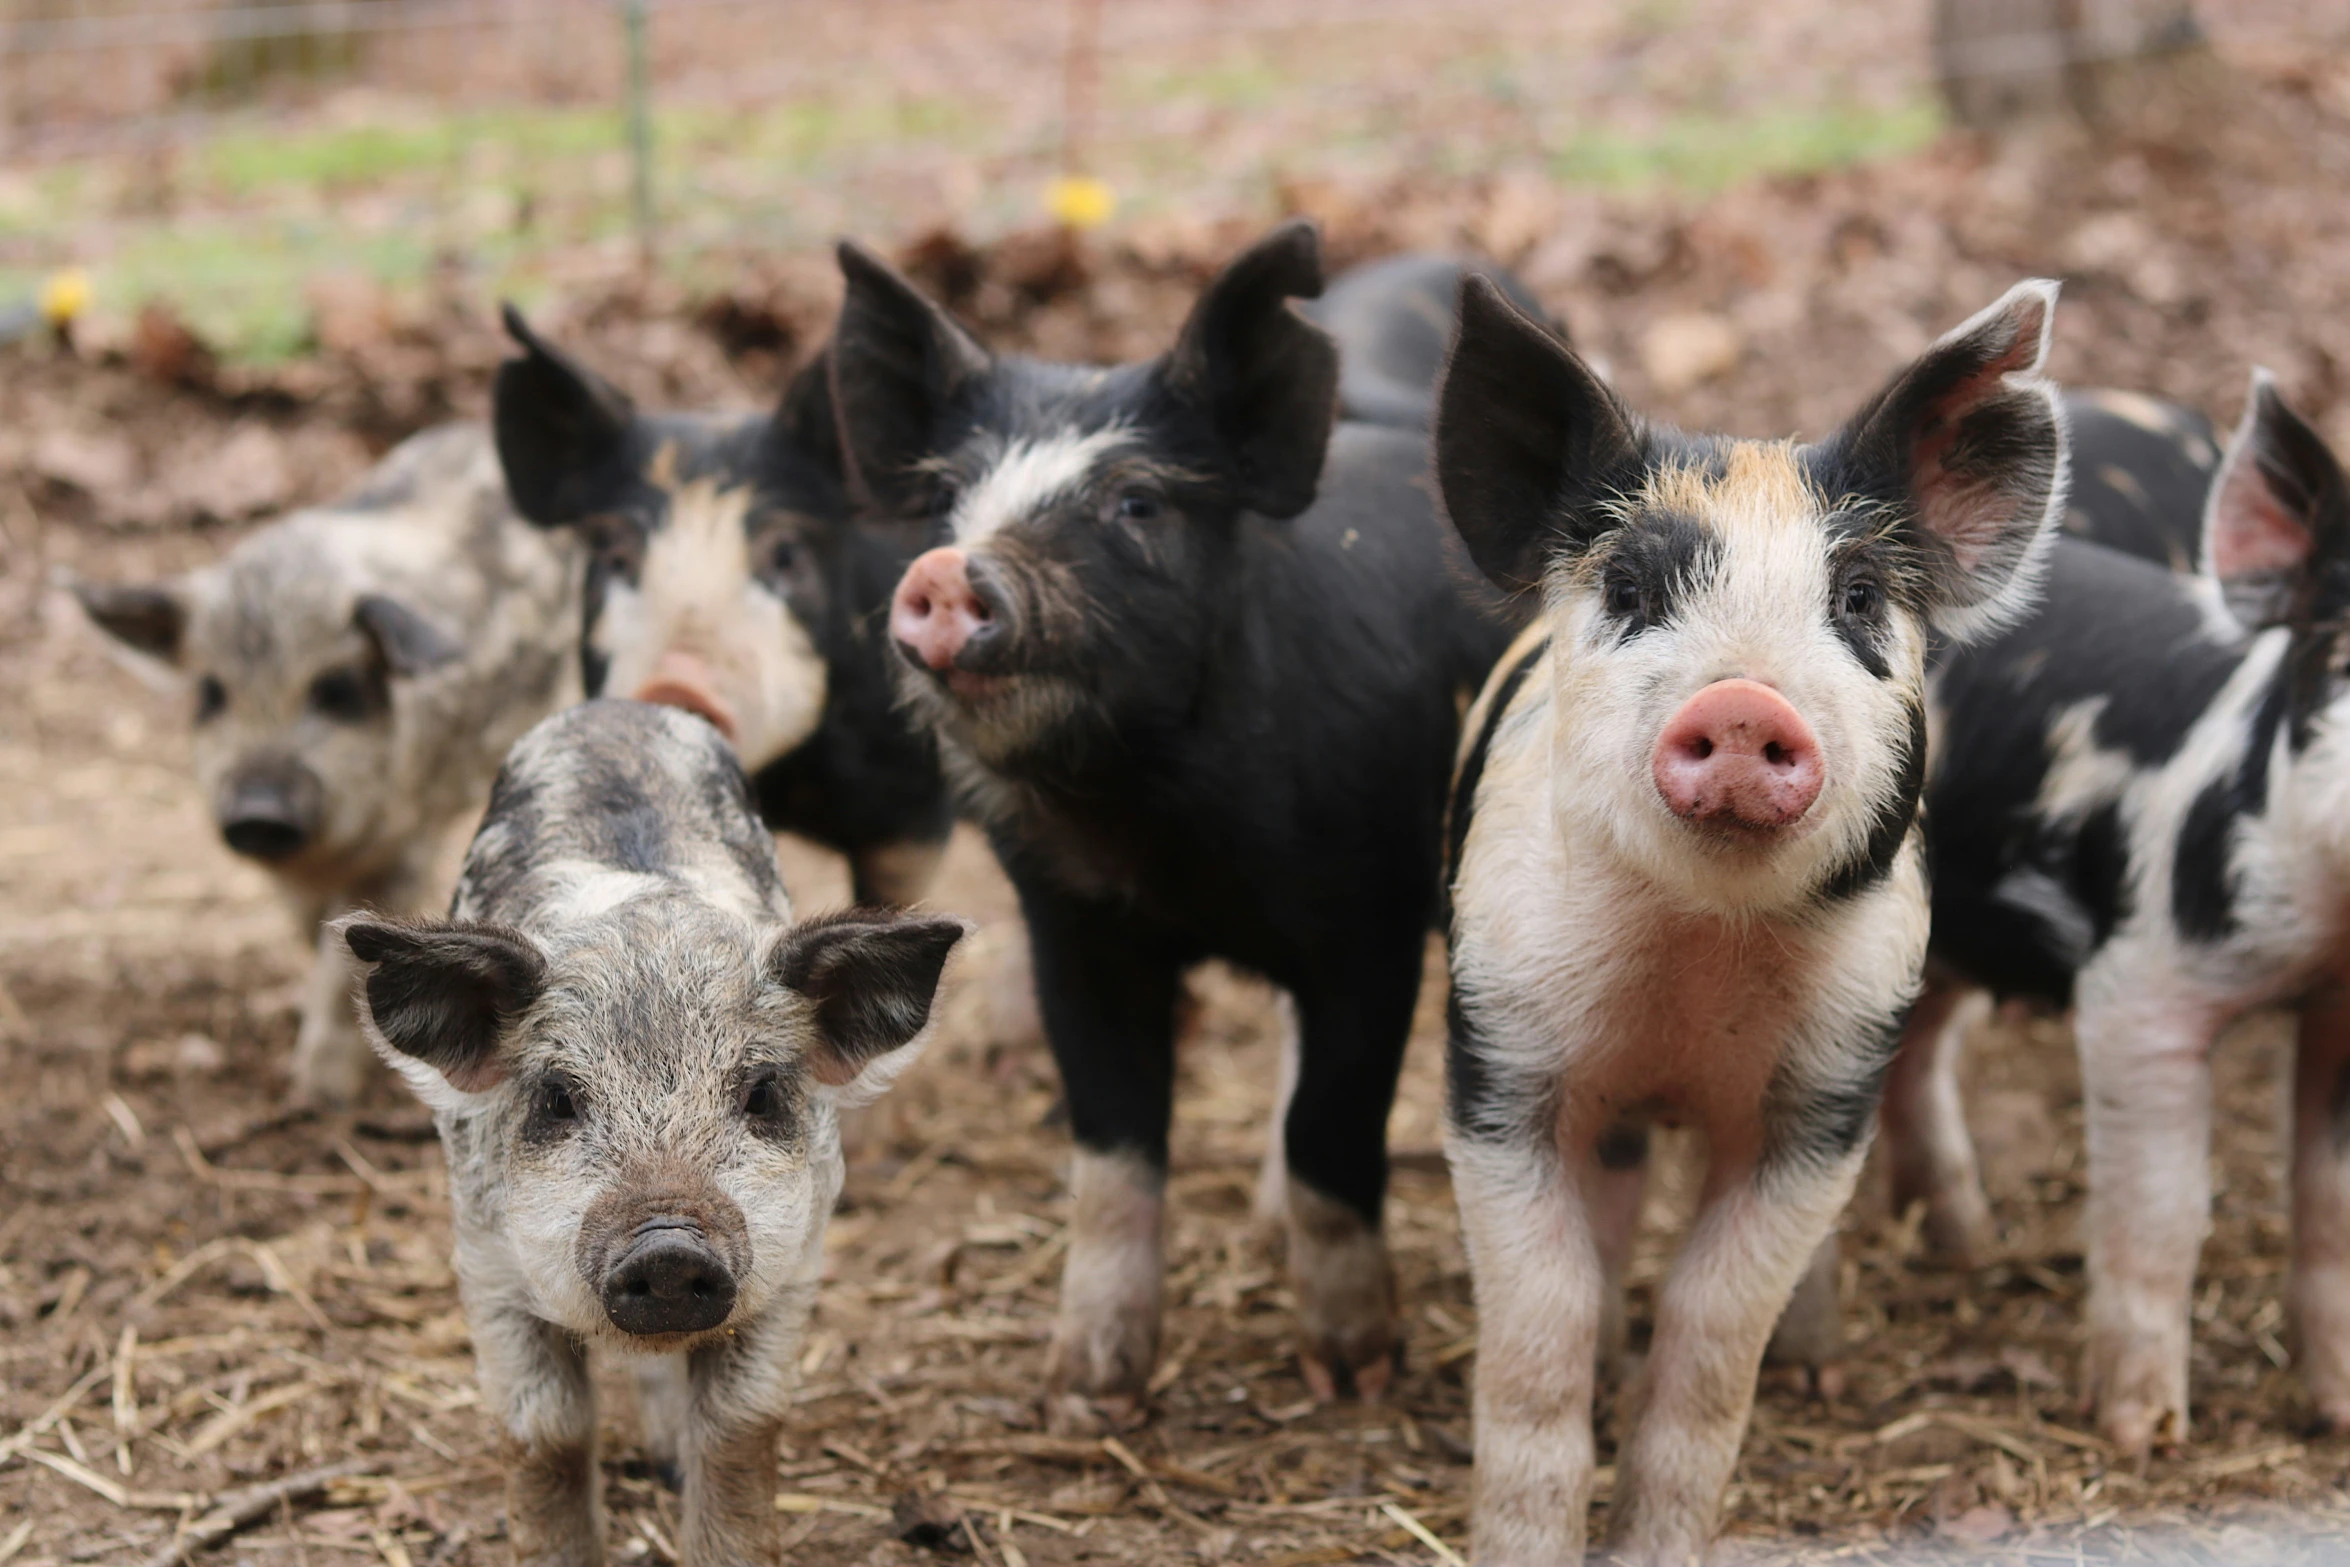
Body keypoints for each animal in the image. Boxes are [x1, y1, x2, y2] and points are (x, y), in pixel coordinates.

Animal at [72, 429, 578, 1108]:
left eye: (336, 689)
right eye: (209, 692)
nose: (258, 810)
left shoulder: (410, 837)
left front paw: (320, 1097)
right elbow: (309, 932)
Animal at [336, 700, 958, 1567]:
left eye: (762, 1093)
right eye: (558, 1099)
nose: (668, 1245)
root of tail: (621, 708)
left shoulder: (795, 1263)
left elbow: (739, 1431)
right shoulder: (484, 1262)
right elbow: (547, 1437)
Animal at [1438, 276, 2068, 1559]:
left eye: (1859, 597)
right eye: (1628, 590)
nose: (1741, 703)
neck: (1695, 966)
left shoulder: (1829, 1088)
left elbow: (1714, 1332)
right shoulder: (1500, 1050)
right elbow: (1538, 1331)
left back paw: (1815, 1367)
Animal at [1870, 373, 2350, 1456]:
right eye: (2339, 653)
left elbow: (2330, 1208)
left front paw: (2339, 1418)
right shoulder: (2141, 982)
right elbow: (2163, 1207)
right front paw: (2144, 1431)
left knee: (1918, 1052)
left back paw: (1970, 1245)